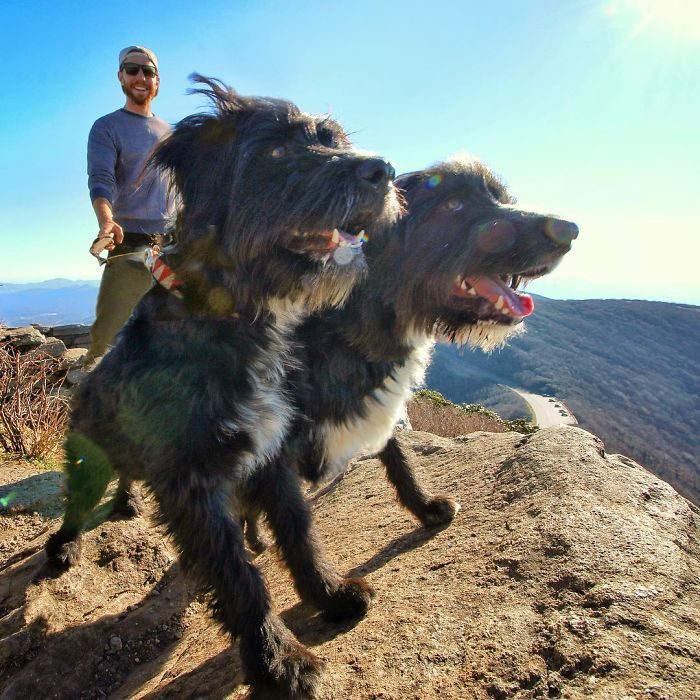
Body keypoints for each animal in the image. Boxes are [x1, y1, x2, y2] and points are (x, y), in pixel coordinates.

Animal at [46, 75, 400, 696]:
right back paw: (64, 546)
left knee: (127, 478)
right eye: (277, 151)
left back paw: (127, 503)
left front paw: (329, 594)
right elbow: (239, 578)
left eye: (332, 139)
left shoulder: (272, 457)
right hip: (88, 455)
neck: (236, 319)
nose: (384, 170)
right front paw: (281, 663)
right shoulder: (194, 485)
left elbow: (300, 534)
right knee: (76, 502)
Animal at [238, 154, 576, 608]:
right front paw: (327, 594)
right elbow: (296, 527)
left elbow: (399, 457)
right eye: (452, 205)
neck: (348, 319)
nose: (569, 230)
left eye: (501, 197)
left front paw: (424, 507)